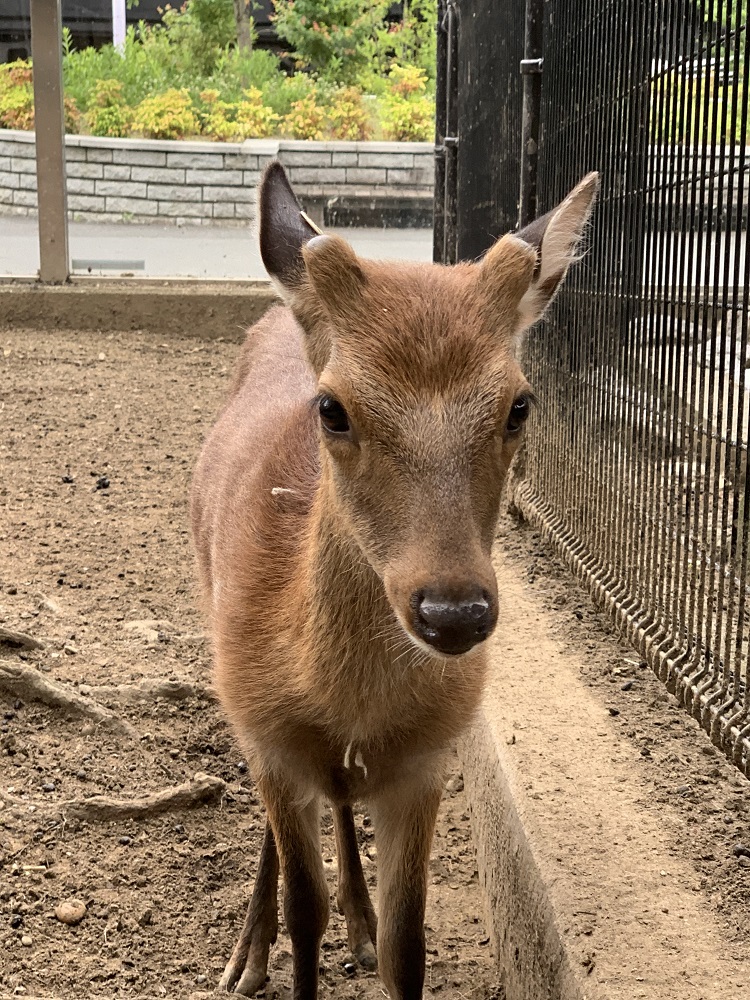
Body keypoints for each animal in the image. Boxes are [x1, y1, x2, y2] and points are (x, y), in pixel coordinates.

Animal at [191, 160, 604, 996]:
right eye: (332, 408)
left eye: (520, 404)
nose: (454, 611)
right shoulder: (272, 740)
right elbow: (304, 910)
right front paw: (284, 946)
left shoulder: (425, 763)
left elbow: (409, 942)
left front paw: (373, 930)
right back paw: (247, 956)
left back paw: (358, 922)